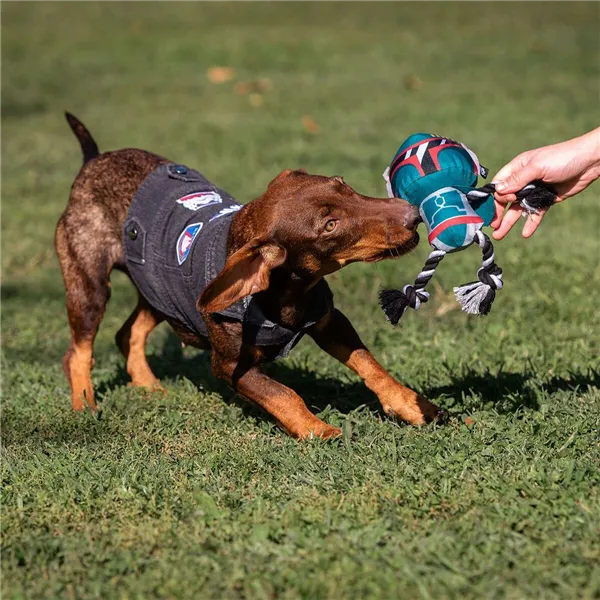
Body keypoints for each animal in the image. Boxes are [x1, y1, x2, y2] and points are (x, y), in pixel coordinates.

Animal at [54, 112, 442, 438]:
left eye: (343, 184)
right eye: (330, 225)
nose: (413, 215)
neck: (286, 294)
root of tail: (92, 161)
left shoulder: (329, 320)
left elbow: (371, 365)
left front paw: (412, 405)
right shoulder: (229, 366)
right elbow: (283, 394)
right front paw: (317, 430)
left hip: (158, 289)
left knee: (128, 333)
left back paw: (149, 386)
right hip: (89, 284)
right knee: (78, 351)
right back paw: (84, 405)